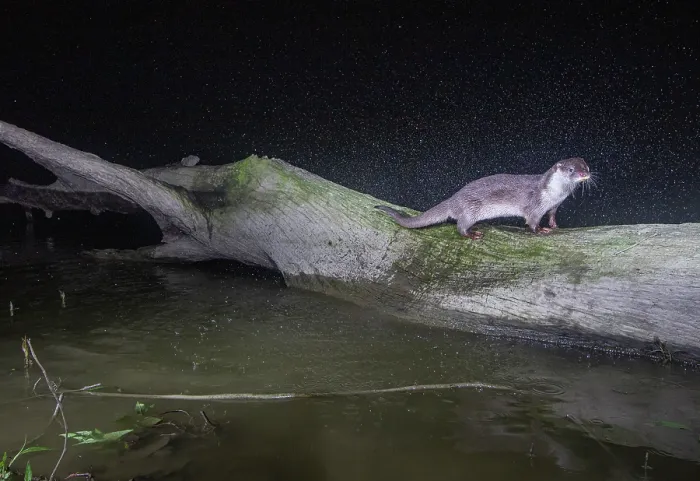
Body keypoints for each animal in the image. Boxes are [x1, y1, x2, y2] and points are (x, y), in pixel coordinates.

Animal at [375, 157, 591, 239]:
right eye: (571, 170)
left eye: (586, 166)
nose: (584, 174)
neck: (555, 194)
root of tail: (454, 199)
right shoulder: (535, 204)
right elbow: (531, 221)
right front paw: (540, 230)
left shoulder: (555, 205)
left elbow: (553, 215)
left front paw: (554, 226)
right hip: (470, 209)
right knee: (460, 226)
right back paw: (472, 234)